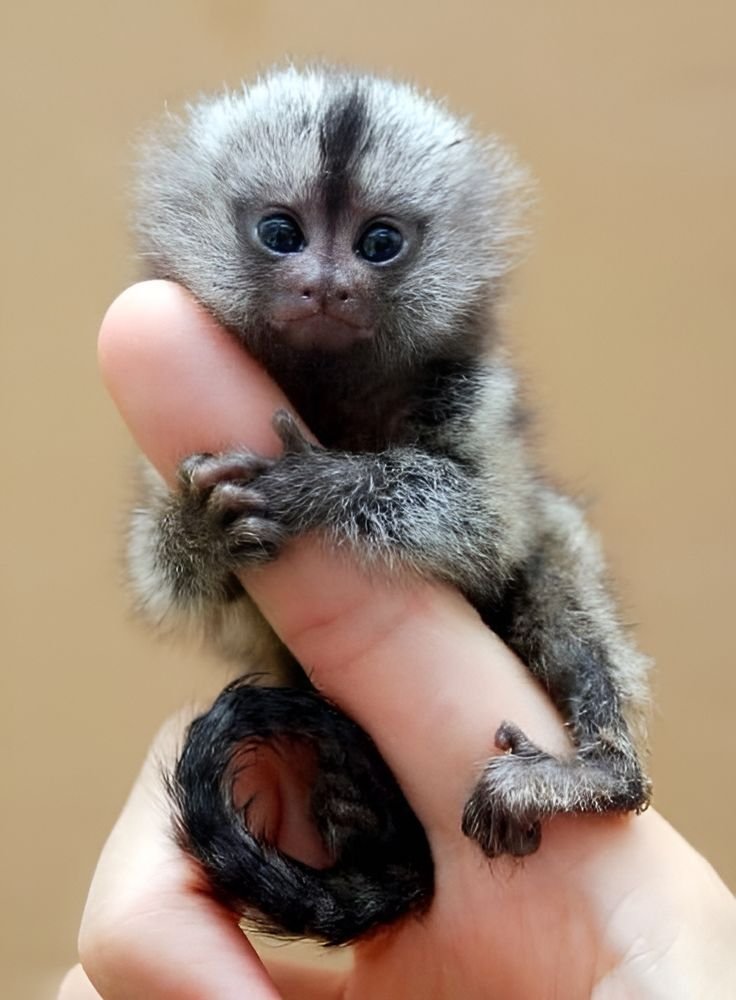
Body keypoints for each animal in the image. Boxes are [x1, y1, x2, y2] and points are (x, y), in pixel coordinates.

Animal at [128, 65, 652, 945]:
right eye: (281, 233)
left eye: (378, 244)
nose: (326, 286)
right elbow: (182, 581)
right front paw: (198, 530)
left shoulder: (467, 391)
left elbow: (492, 527)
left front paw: (321, 484)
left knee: (553, 552)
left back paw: (603, 775)